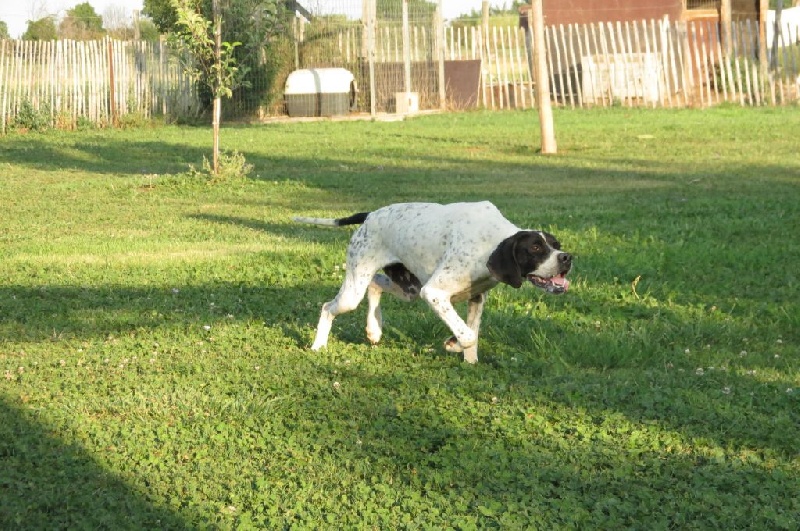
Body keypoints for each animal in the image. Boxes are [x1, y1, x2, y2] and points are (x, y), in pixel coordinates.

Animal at [292, 202, 568, 364]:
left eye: (557, 245)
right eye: (535, 248)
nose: (567, 258)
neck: (491, 242)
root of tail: (370, 215)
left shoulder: (476, 297)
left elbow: (472, 334)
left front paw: (468, 360)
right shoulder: (434, 293)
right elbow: (468, 335)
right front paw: (453, 343)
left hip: (407, 288)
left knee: (375, 284)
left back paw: (374, 329)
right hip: (355, 291)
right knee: (328, 307)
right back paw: (319, 345)